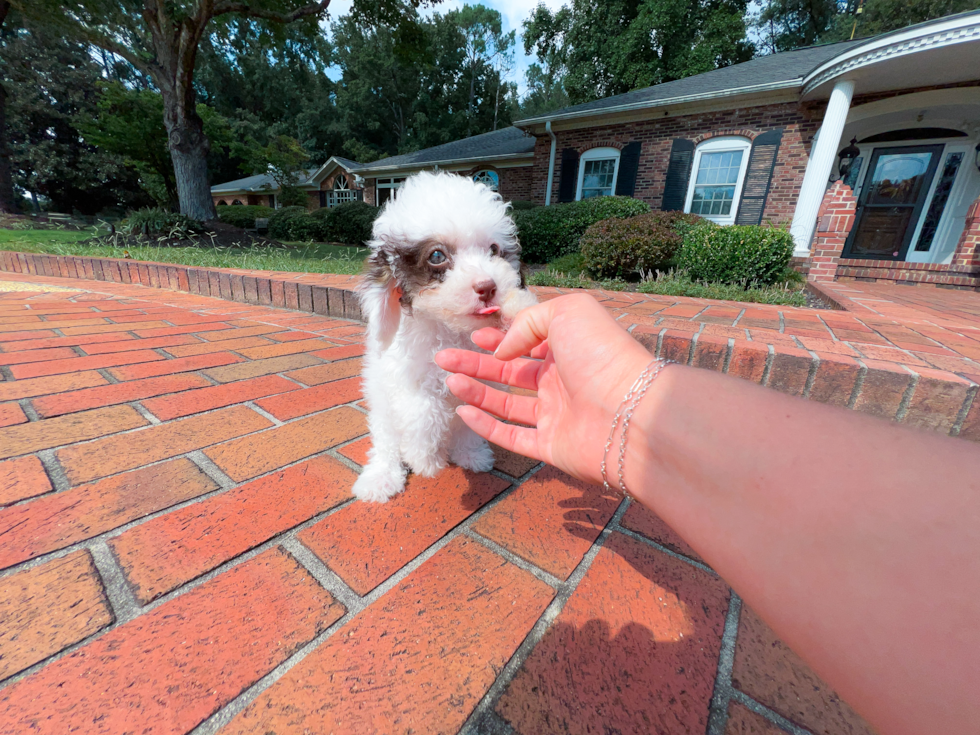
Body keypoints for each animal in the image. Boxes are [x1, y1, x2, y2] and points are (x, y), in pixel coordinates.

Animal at [352, 172, 536, 504]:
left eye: (493, 250)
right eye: (437, 256)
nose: (488, 286)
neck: (449, 331)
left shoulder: (478, 381)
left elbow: (471, 418)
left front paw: (469, 452)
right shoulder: (405, 376)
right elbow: (425, 411)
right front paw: (426, 459)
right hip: (382, 411)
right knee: (386, 442)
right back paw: (381, 478)